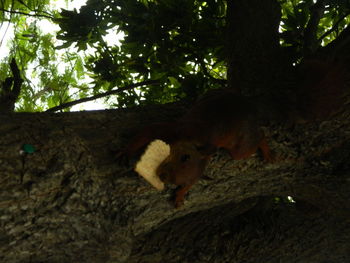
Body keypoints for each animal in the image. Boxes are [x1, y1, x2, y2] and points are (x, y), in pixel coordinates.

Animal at [119, 59, 348, 208]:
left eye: (186, 158)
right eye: (181, 156)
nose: (164, 176)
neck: (192, 139)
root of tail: (251, 106)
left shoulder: (199, 163)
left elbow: (193, 179)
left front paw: (180, 196)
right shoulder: (171, 130)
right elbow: (146, 132)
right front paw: (125, 151)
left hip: (240, 148)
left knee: (259, 138)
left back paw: (267, 151)